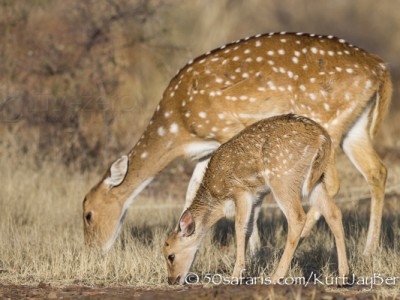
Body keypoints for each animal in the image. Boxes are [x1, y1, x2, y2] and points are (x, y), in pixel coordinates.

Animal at [83, 31, 392, 254]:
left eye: (87, 214)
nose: (92, 251)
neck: (179, 127)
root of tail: (380, 68)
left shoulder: (227, 129)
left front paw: (253, 249)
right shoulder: (204, 151)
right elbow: (191, 190)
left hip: (325, 120)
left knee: (335, 181)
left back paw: (303, 239)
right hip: (355, 126)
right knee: (377, 171)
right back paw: (369, 250)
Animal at [164, 114, 348, 284]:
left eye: (170, 256)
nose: (171, 280)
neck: (218, 199)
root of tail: (323, 137)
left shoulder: (240, 191)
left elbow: (239, 227)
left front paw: (235, 277)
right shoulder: (257, 196)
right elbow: (249, 228)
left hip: (282, 176)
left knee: (297, 217)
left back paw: (276, 277)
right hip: (315, 180)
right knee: (334, 212)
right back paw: (343, 276)